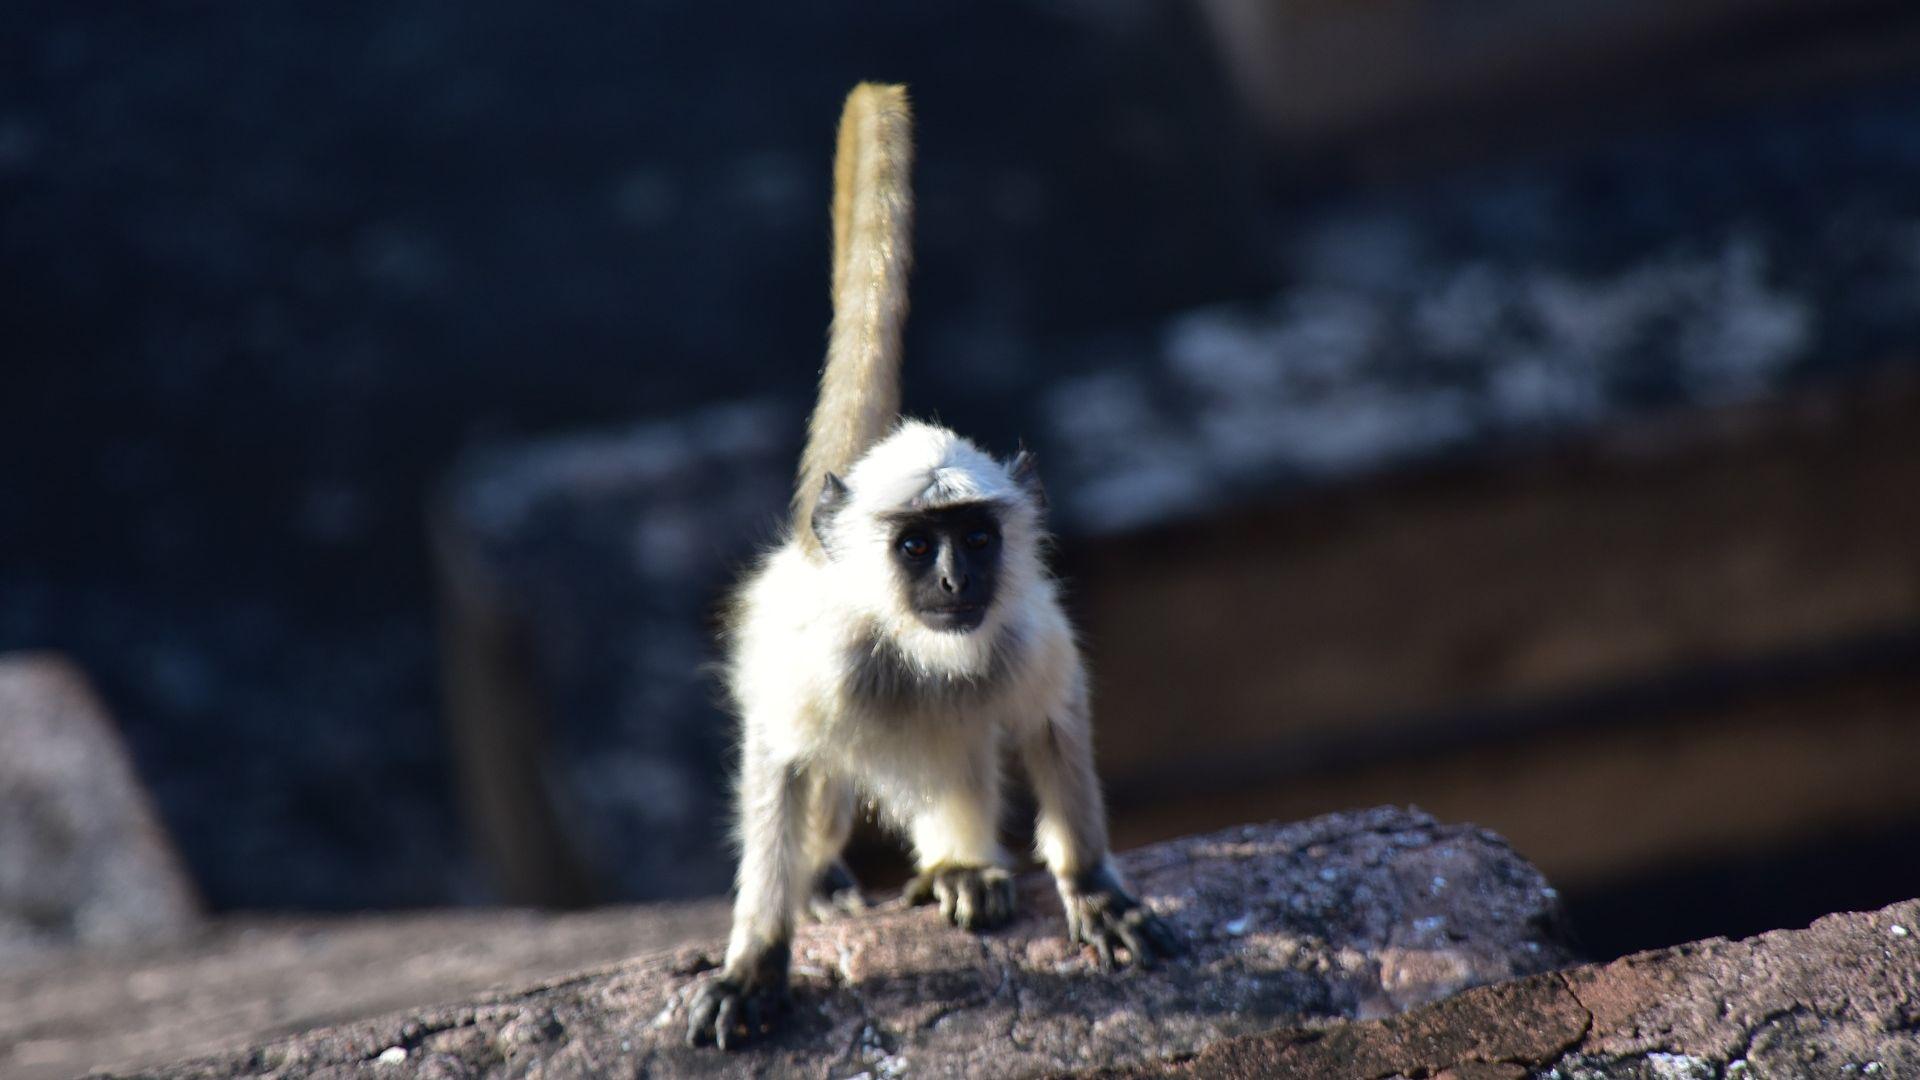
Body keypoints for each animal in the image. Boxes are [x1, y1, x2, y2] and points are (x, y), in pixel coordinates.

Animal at [686, 83, 1183, 1051]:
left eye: (976, 539)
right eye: (918, 545)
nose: (955, 581)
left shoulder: (1024, 633)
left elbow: (1054, 719)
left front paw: (1092, 883)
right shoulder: (820, 665)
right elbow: (779, 767)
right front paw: (757, 957)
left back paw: (960, 866)